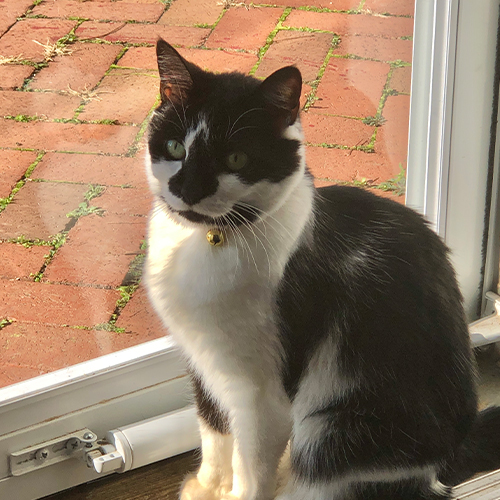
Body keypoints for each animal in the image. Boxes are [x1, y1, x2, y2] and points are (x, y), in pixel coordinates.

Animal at [143, 39, 500, 500]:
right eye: (175, 148)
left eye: (236, 158)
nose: (187, 190)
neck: (209, 241)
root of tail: (449, 458)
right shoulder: (202, 358)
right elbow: (214, 428)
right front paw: (208, 487)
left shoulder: (262, 391)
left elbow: (250, 465)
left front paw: (238, 489)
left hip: (329, 432)